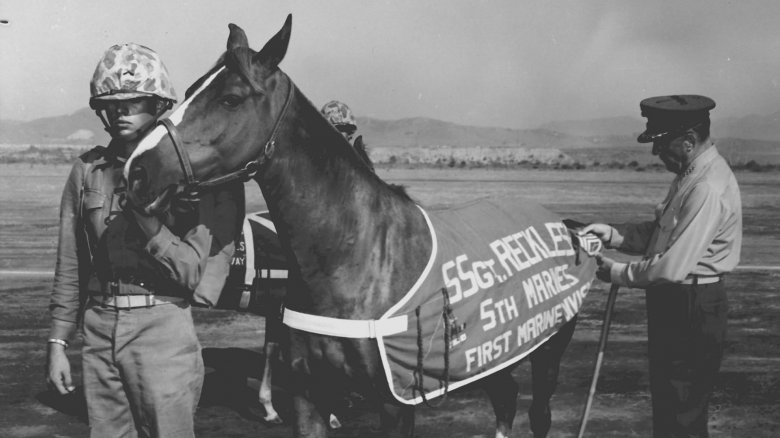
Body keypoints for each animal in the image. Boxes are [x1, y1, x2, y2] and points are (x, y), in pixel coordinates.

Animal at [125, 15, 596, 436]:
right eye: (189, 91)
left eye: (231, 98)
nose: (137, 169)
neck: (354, 259)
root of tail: (567, 227)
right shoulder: (308, 393)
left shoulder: (396, 403)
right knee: (505, 398)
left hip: (547, 354)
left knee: (536, 413)